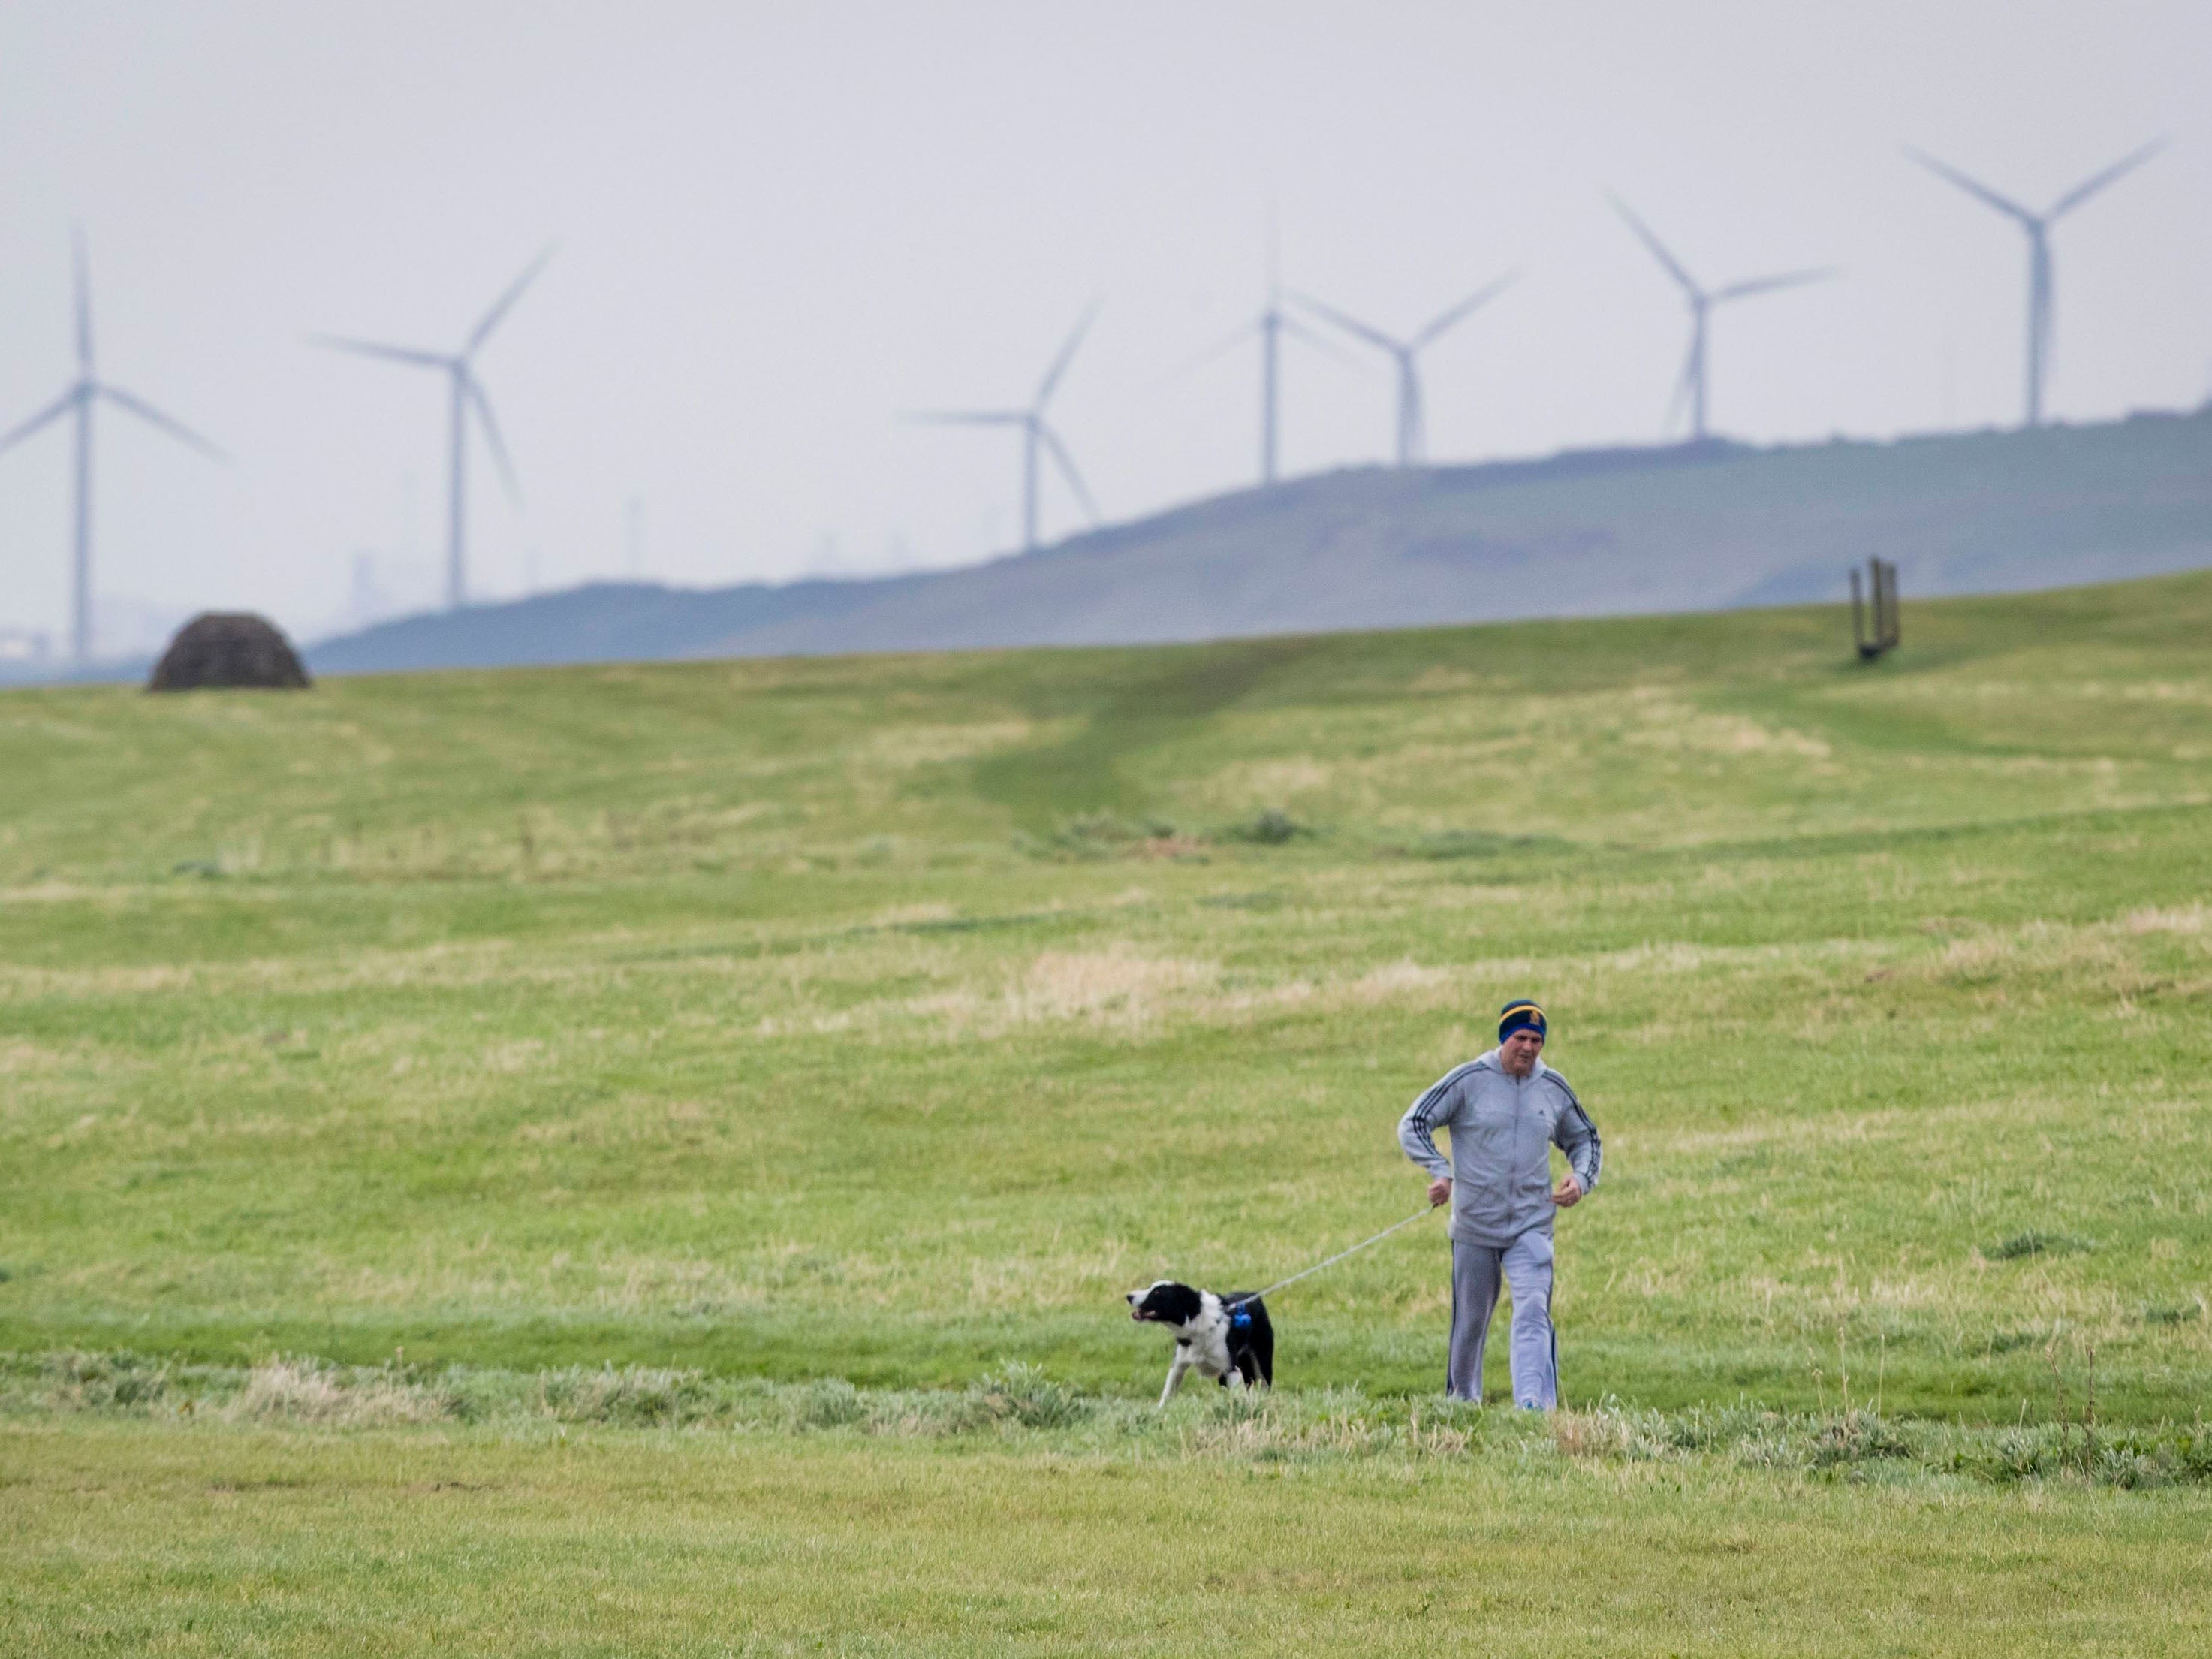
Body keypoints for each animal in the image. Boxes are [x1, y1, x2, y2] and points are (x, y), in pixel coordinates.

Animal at [1132, 1283, 1273, 1407]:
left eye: (1157, 1293)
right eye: (1150, 1287)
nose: (1129, 1296)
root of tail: (1253, 1294)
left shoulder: (1231, 1369)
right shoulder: (1178, 1365)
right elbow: (1167, 1393)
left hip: (1262, 1360)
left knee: (1264, 1384)